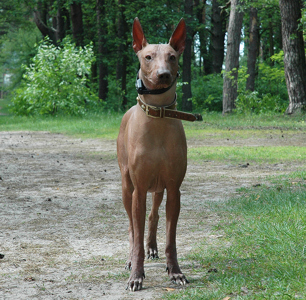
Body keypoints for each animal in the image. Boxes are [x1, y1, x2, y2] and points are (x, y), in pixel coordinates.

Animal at [117, 17, 196, 292]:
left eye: (172, 57)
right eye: (148, 57)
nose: (163, 75)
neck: (159, 117)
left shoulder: (174, 189)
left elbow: (170, 238)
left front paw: (175, 272)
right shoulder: (139, 190)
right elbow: (136, 233)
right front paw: (136, 275)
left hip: (159, 188)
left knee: (153, 216)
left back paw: (152, 246)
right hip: (127, 186)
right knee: (132, 227)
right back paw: (132, 256)